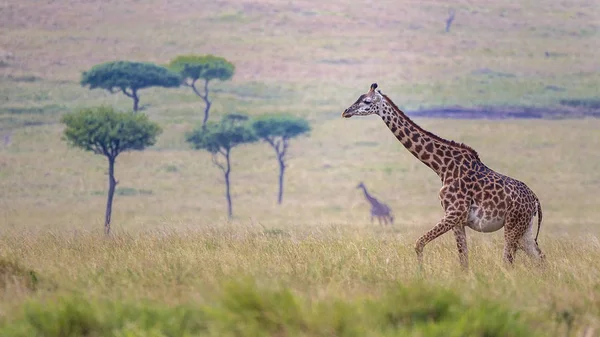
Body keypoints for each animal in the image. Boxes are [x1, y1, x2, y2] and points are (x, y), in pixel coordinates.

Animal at [342, 82, 544, 270]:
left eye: (367, 101)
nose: (345, 111)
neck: (442, 167)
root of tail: (535, 199)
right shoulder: (458, 220)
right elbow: (463, 260)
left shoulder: (454, 213)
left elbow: (419, 243)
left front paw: (421, 273)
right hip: (524, 228)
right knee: (539, 256)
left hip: (513, 225)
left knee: (508, 260)